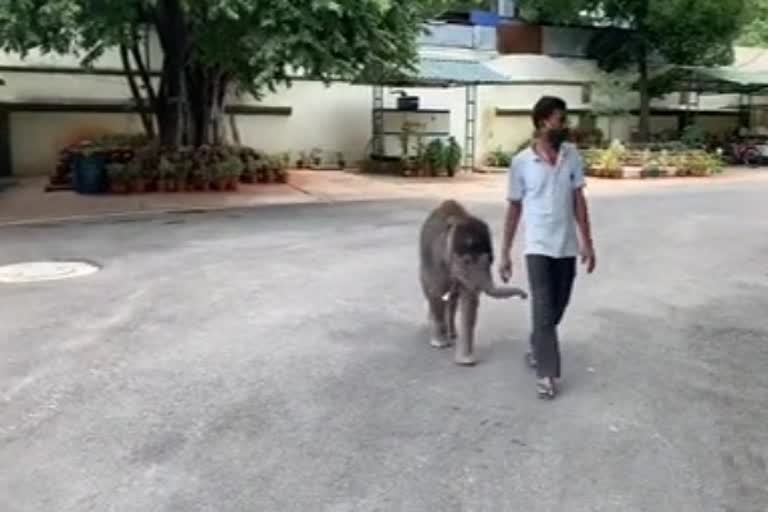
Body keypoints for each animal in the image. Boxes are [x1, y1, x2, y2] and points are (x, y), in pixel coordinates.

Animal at [420, 199, 528, 364]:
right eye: (466, 261)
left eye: (490, 259)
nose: (525, 296)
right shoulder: (436, 260)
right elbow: (437, 293)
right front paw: (440, 344)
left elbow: (469, 302)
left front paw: (466, 361)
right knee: (431, 293)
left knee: (453, 300)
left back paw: (453, 335)